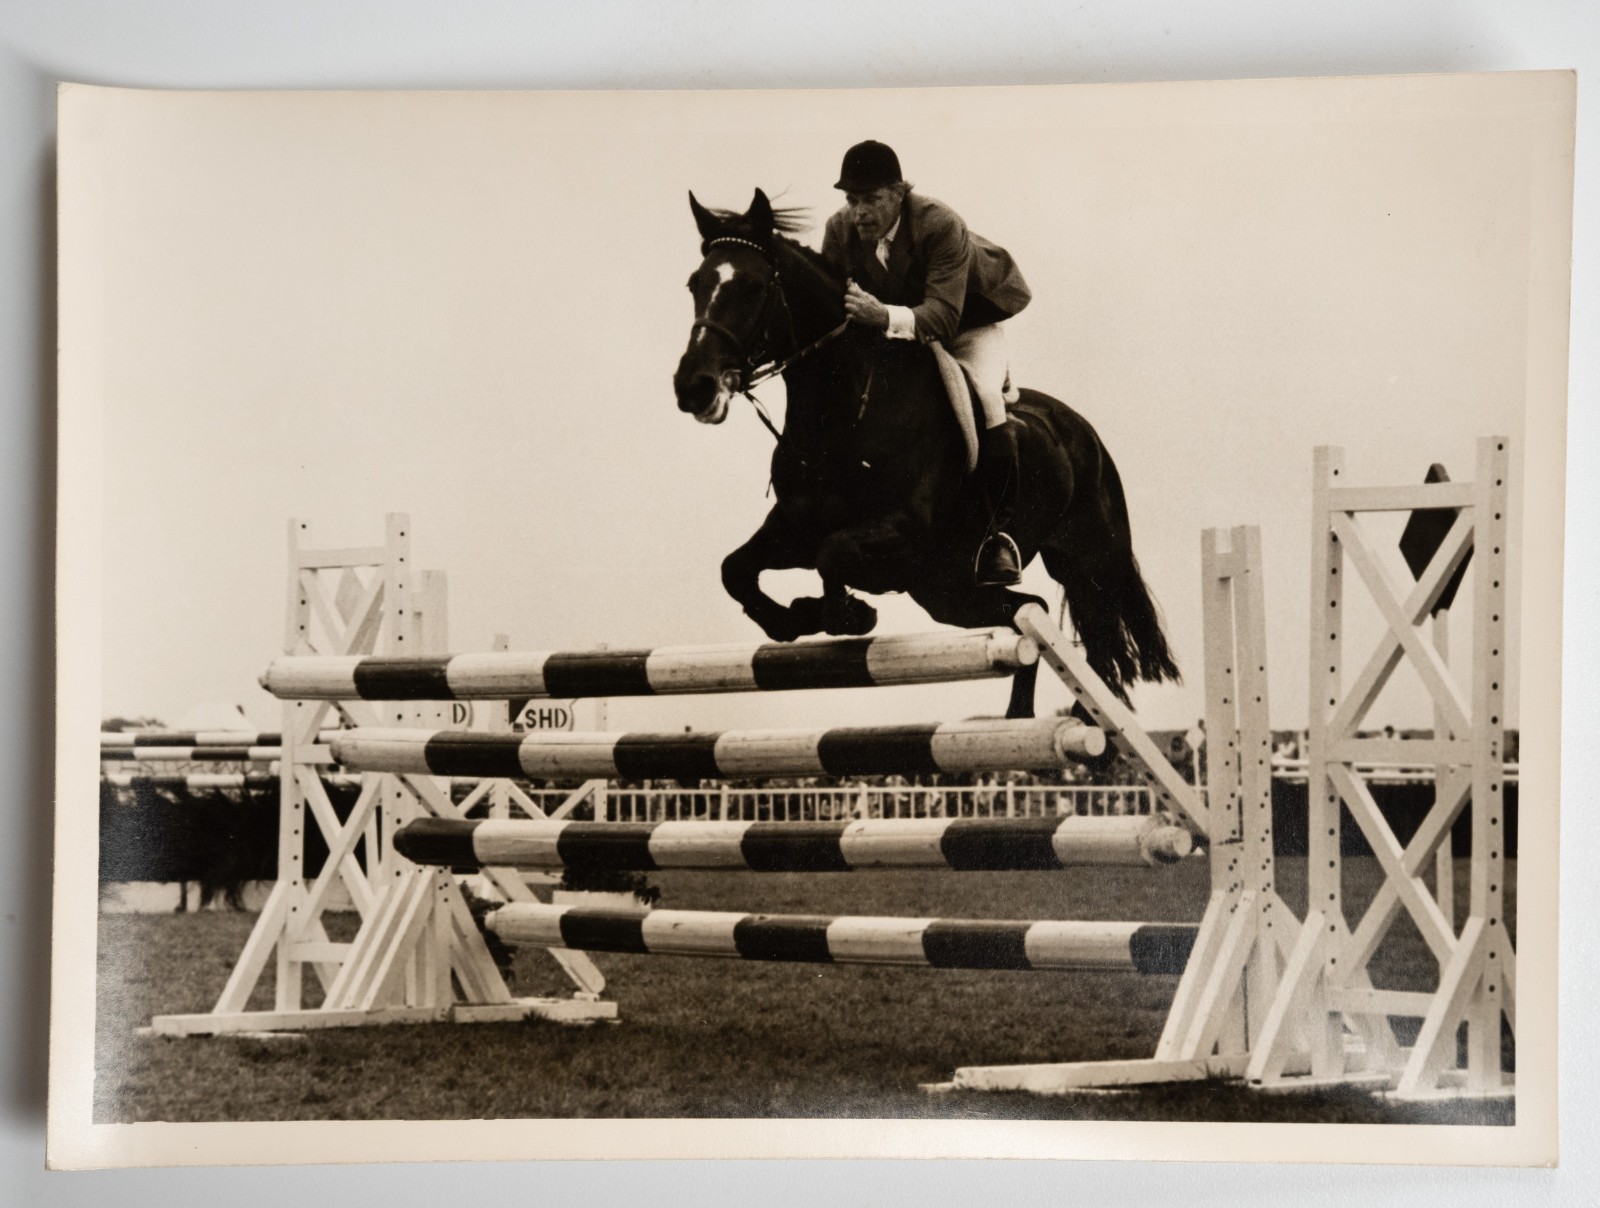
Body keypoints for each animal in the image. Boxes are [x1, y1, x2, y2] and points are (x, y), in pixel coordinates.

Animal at [672, 189, 1178, 719]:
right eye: (695, 284)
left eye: (753, 286)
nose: (693, 387)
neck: (843, 414)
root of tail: (1080, 429)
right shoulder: (795, 530)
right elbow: (735, 569)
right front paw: (792, 619)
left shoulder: (906, 534)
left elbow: (834, 554)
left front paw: (844, 613)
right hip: (945, 591)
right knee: (1029, 610)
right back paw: (1020, 717)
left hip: (1088, 560)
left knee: (1096, 635)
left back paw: (1081, 723)